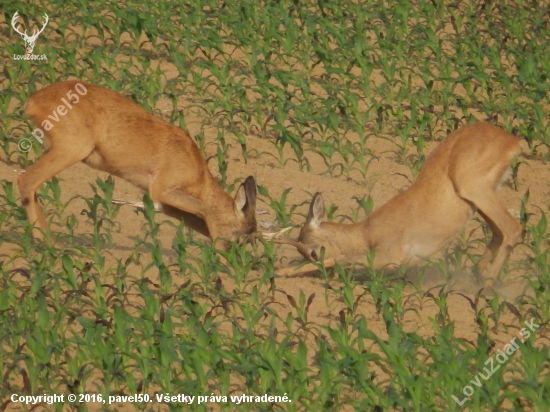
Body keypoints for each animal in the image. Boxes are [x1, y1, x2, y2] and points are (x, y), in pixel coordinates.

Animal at [17, 79, 258, 249]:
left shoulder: (168, 205)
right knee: (25, 180)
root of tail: (32, 101)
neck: (197, 169)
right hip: (71, 150)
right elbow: (206, 211)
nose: (235, 256)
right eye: (241, 236)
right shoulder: (162, 190)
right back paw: (47, 244)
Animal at [274, 122, 524, 286]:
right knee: (499, 231)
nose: (326, 278)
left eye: (313, 252)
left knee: (513, 227)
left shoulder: (389, 258)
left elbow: (340, 258)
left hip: (473, 188)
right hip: (480, 197)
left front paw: (282, 272)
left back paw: (487, 283)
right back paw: (477, 274)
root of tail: (511, 140)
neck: (366, 233)